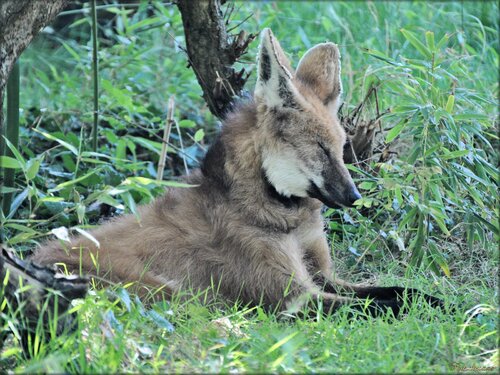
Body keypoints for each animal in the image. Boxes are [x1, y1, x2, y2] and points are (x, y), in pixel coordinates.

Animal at [33, 29, 444, 316]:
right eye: (319, 149)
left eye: (341, 149)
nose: (355, 197)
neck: (282, 217)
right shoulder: (294, 299)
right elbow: (383, 304)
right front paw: (450, 310)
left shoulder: (323, 276)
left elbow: (399, 291)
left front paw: (443, 300)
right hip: (168, 292)